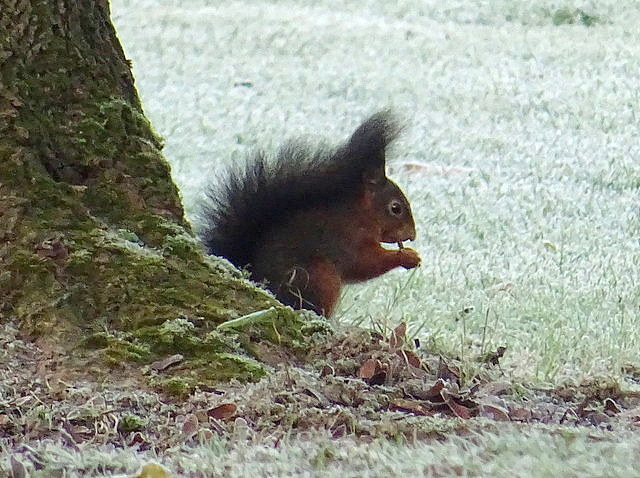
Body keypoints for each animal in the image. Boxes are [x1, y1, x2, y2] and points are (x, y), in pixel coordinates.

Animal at [200, 111, 421, 317]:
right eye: (396, 208)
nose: (412, 235)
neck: (361, 215)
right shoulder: (345, 237)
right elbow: (364, 263)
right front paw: (407, 256)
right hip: (318, 277)